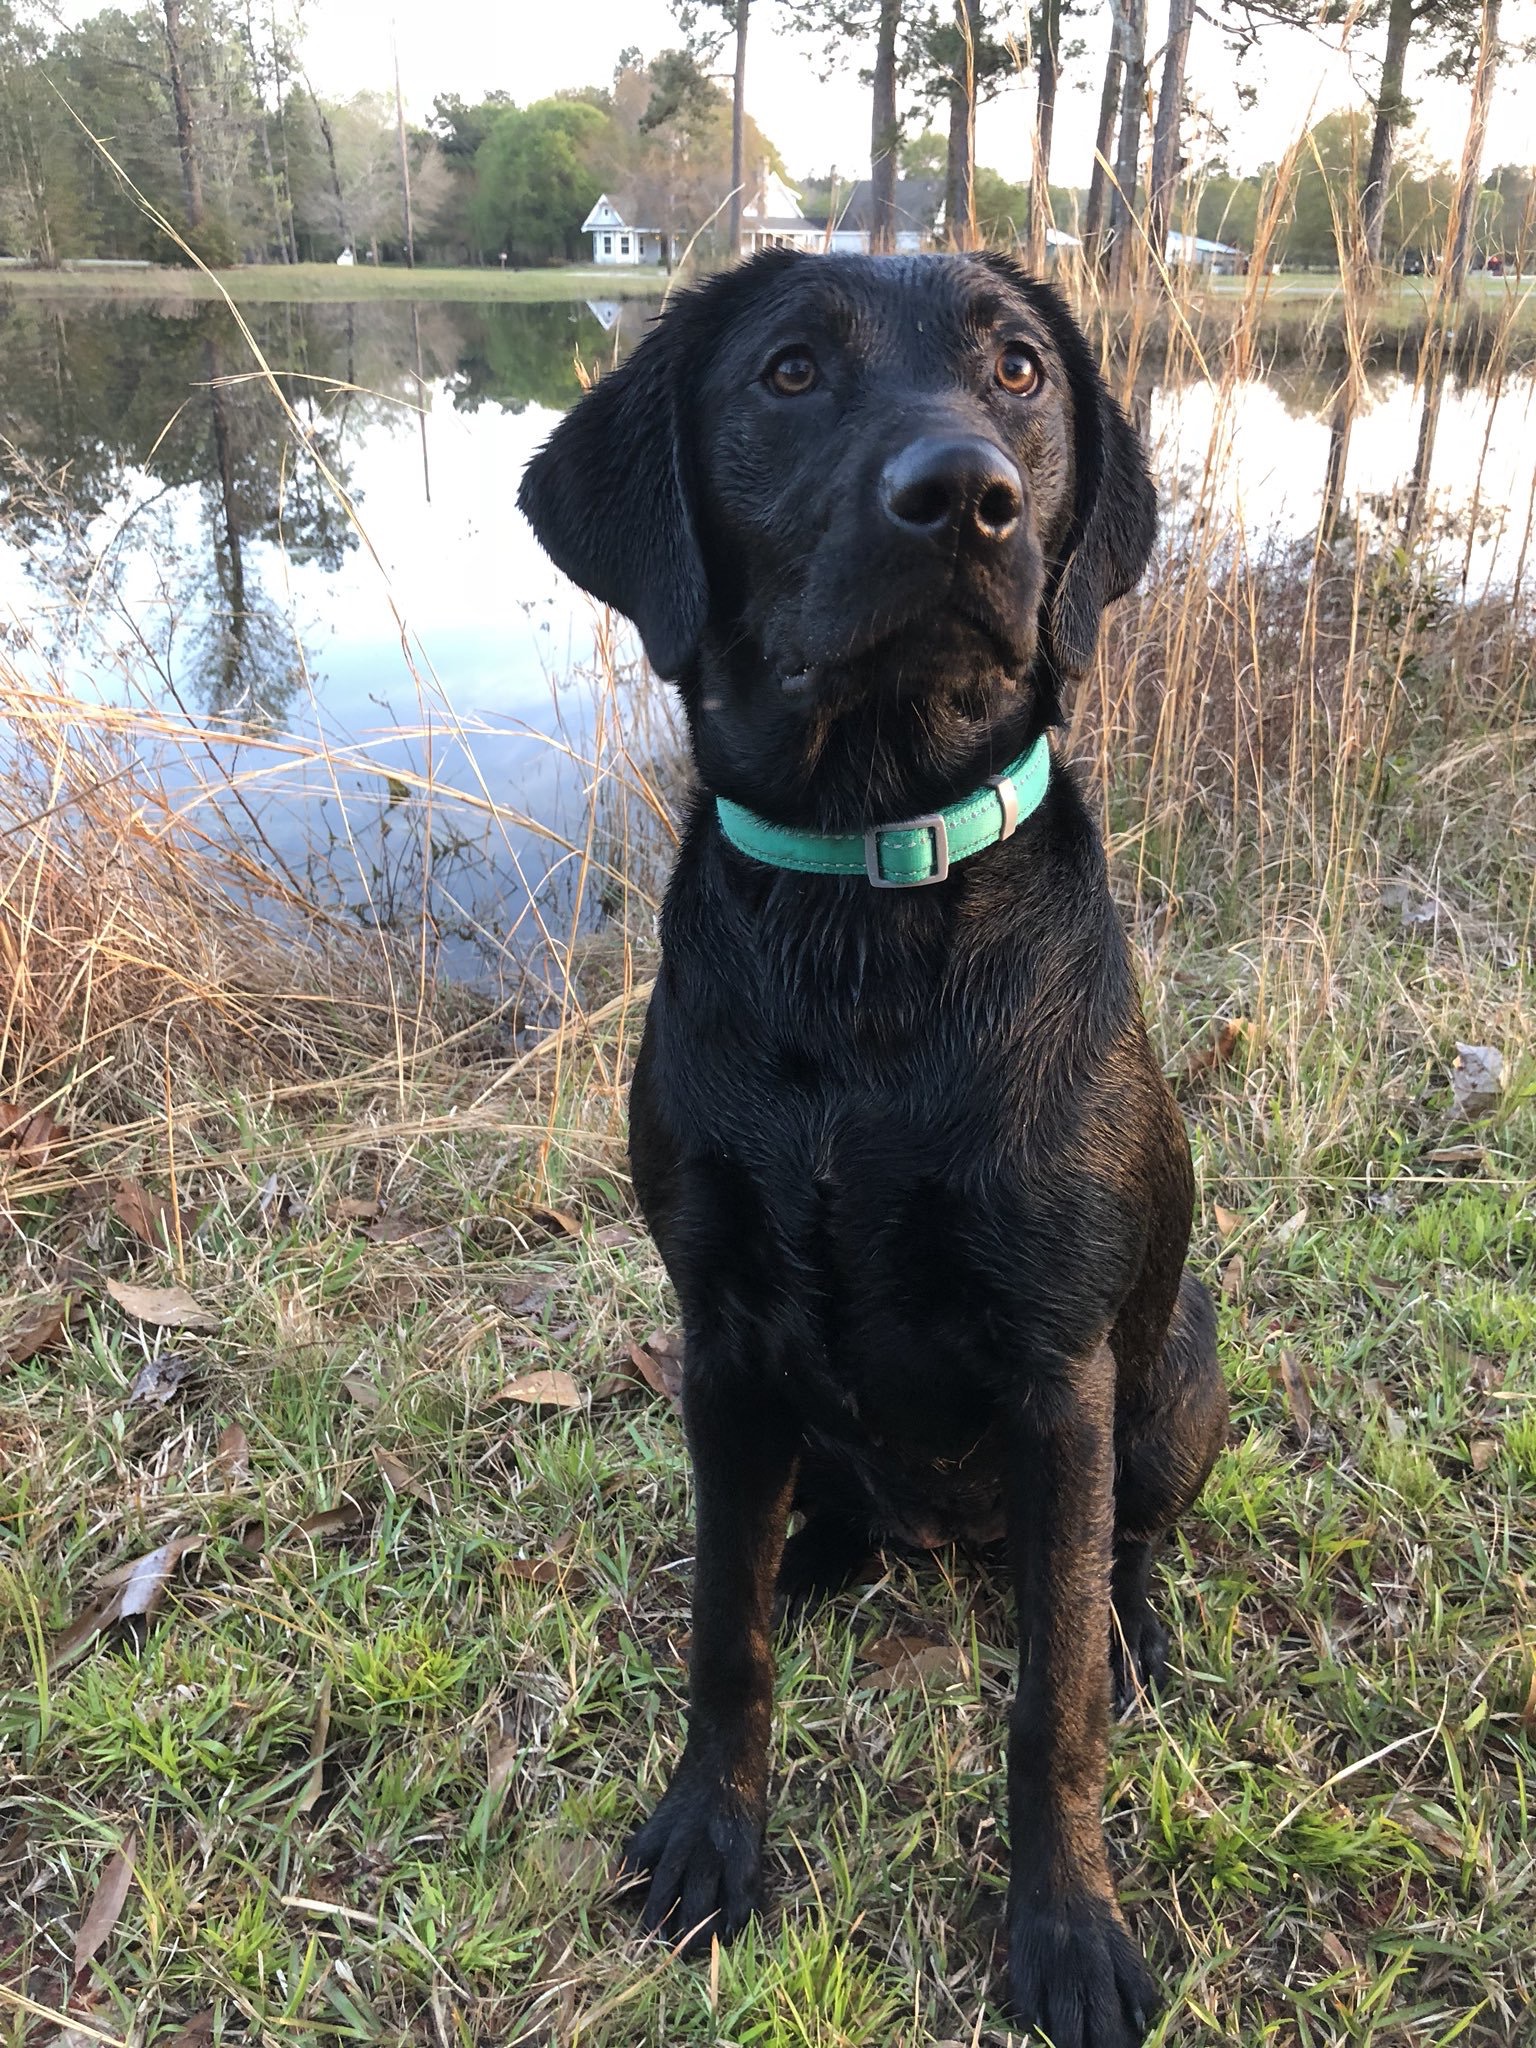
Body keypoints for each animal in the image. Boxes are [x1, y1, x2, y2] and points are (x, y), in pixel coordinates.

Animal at [524, 256, 1236, 2048]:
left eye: (1021, 369)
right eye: (787, 372)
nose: (965, 498)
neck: (869, 895)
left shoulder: (1061, 1372)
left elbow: (1052, 1710)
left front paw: (1065, 1929)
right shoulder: (716, 1336)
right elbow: (721, 1634)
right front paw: (710, 1834)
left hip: (1176, 1365)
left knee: (1119, 1553)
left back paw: (1129, 1622)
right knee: (811, 1510)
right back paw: (823, 1550)